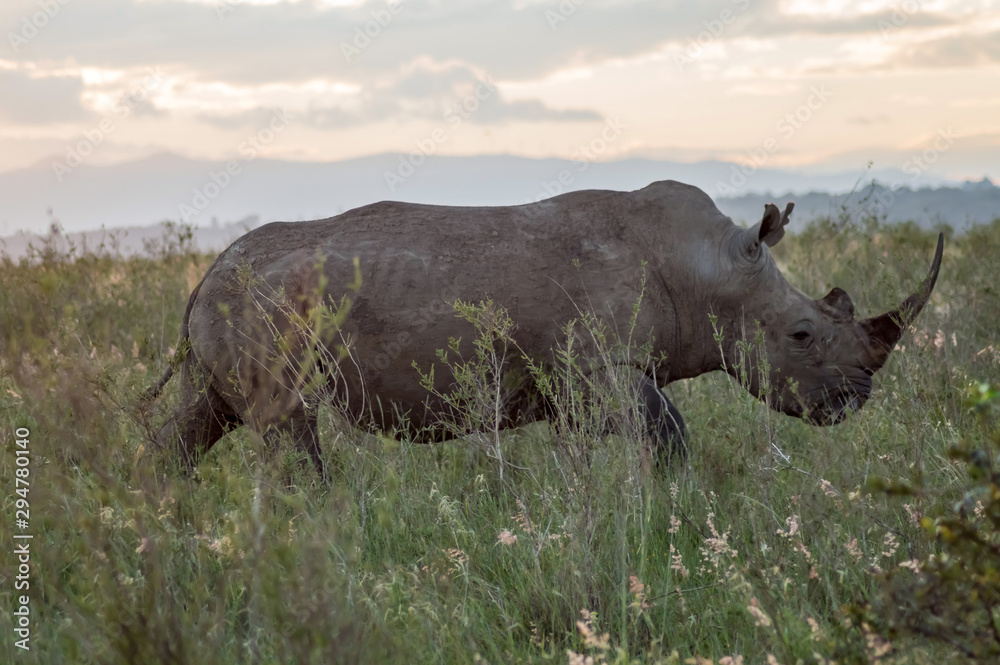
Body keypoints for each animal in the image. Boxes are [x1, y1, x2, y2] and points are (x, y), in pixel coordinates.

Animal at [146, 180, 943, 479]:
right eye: (802, 335)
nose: (855, 400)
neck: (709, 267)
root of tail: (205, 274)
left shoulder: (582, 382)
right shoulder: (597, 368)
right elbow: (670, 428)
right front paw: (676, 498)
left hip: (233, 303)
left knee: (204, 416)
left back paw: (161, 514)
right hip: (258, 306)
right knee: (284, 420)